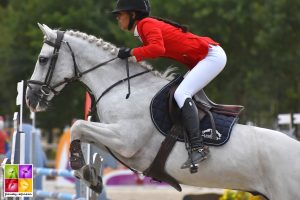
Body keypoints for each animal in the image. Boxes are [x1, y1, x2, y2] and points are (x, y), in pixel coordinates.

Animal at [26, 23, 300, 200]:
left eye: (42, 59)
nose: (30, 98)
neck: (123, 87)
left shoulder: (125, 139)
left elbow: (78, 126)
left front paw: (80, 166)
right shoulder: (120, 143)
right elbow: (84, 132)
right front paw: (89, 174)